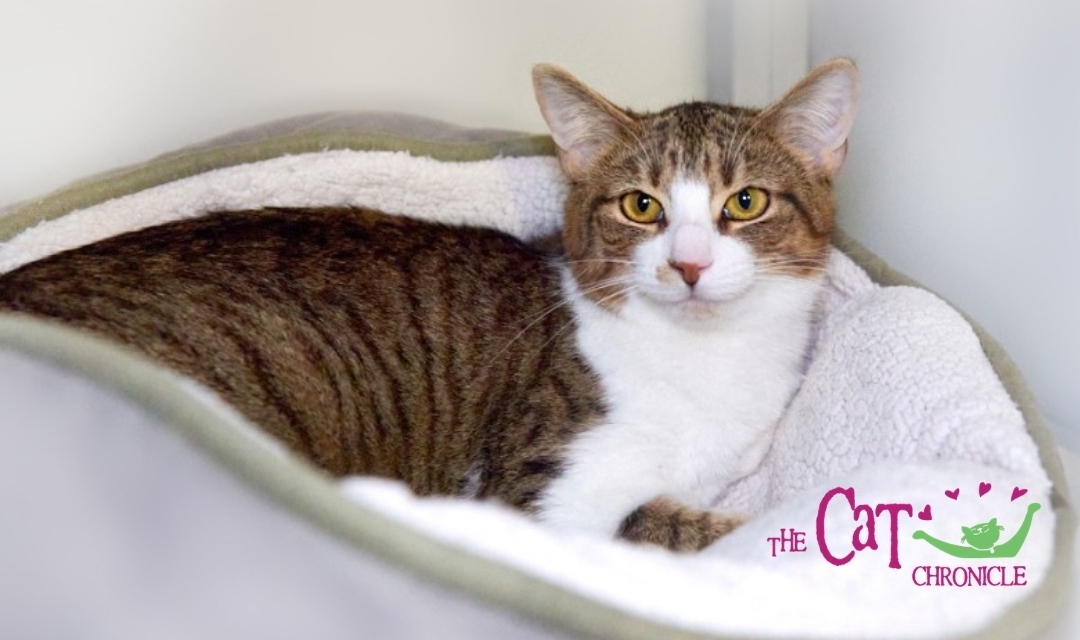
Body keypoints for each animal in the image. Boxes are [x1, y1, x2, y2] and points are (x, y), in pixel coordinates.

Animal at [0, 58, 859, 548]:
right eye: (640, 207)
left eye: (745, 202)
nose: (687, 265)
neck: (702, 357)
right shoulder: (535, 494)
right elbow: (673, 529)